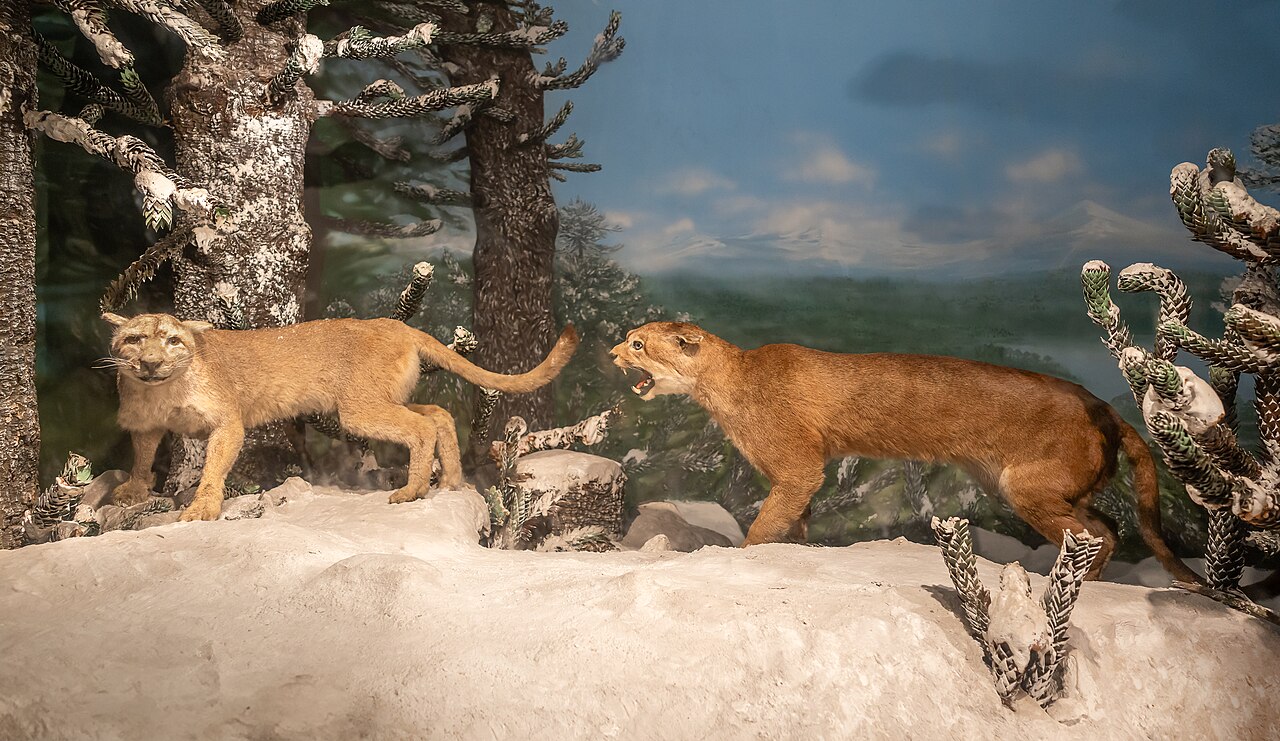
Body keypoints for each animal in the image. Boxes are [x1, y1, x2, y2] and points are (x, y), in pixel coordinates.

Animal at [103, 312, 577, 521]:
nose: (149, 363)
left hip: (358, 408)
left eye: (173, 340)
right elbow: (142, 456)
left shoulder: (227, 423)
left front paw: (202, 507)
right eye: (134, 339)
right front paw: (133, 491)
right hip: (381, 399)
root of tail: (395, 323)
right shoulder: (146, 426)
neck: (162, 390)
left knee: (422, 425)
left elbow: (213, 468)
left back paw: (413, 491)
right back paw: (451, 482)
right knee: (439, 413)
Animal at [610, 321, 1199, 582]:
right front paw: (797, 549)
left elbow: (763, 524)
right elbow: (795, 521)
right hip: (1047, 487)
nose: (611, 351)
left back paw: (1075, 584)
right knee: (1109, 527)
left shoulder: (798, 467)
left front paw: (746, 555)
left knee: (1095, 535)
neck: (727, 381)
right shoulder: (802, 477)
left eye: (638, 342)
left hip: (1027, 486)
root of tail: (1101, 403)